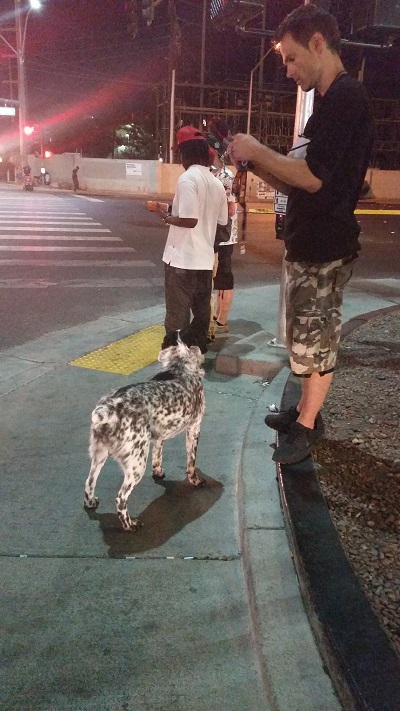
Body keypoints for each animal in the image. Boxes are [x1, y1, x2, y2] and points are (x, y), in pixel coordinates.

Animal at [82, 336, 205, 532]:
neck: (180, 371)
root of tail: (108, 410)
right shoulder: (194, 428)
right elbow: (191, 463)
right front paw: (195, 481)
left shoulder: (160, 436)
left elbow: (158, 456)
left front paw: (158, 472)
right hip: (136, 465)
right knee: (120, 499)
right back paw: (129, 525)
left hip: (99, 455)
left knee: (89, 482)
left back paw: (91, 503)